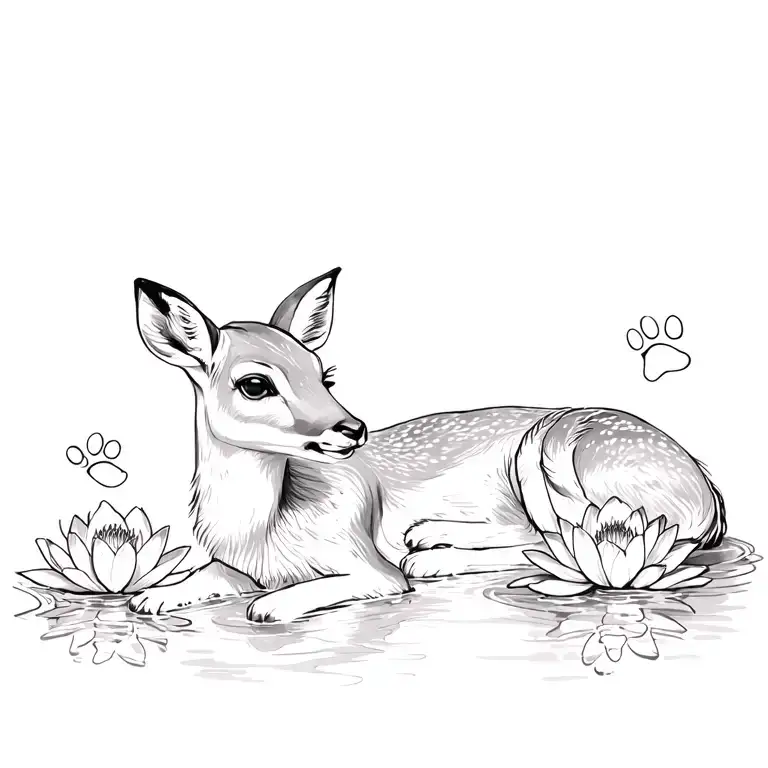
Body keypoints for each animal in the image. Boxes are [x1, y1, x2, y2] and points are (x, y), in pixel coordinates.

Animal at [131, 268, 726, 622]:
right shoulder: (235, 565)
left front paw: (273, 606)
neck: (259, 525)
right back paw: (429, 536)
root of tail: (707, 492)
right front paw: (150, 596)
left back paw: (431, 556)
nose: (352, 430)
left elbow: (301, 596)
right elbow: (204, 576)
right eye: (255, 384)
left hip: (547, 454)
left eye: (323, 374)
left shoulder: (369, 569)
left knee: (548, 538)